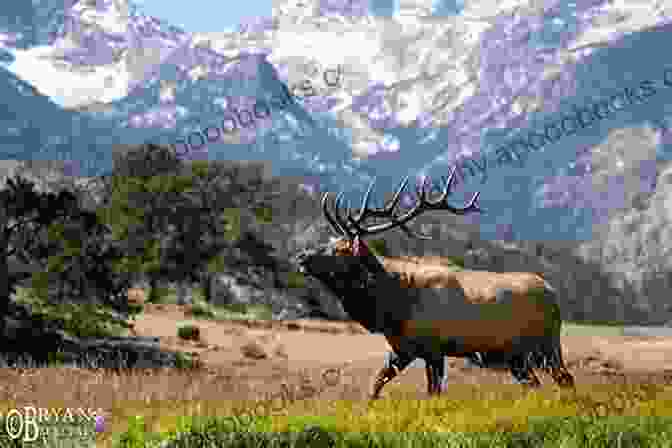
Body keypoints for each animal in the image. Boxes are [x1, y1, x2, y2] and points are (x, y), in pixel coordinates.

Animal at [292, 169, 572, 400]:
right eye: (329, 241)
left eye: (340, 249)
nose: (301, 257)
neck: (392, 306)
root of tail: (553, 294)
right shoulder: (404, 349)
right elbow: (376, 384)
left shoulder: (434, 349)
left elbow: (432, 392)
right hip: (517, 356)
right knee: (536, 383)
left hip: (545, 344)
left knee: (565, 378)